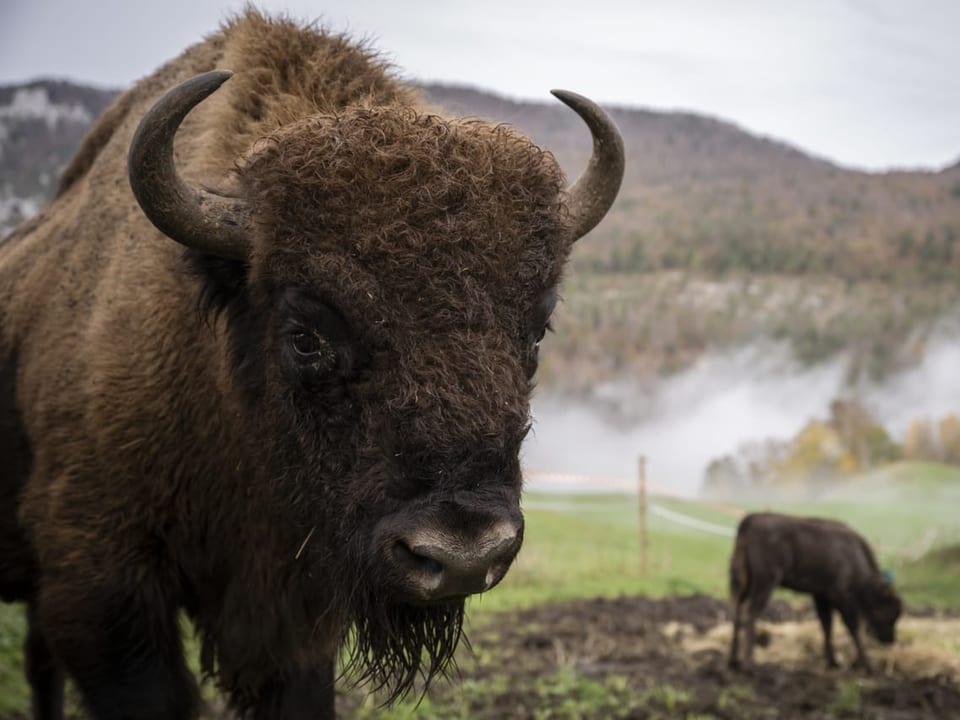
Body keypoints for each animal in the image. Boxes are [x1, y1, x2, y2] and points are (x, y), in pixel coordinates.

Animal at [732, 512, 904, 668]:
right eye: (890, 612)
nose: (889, 640)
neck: (856, 557)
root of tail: (751, 519)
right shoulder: (841, 596)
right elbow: (852, 627)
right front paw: (867, 665)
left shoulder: (821, 595)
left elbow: (826, 625)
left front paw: (833, 661)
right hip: (765, 582)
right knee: (749, 612)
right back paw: (749, 663)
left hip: (743, 584)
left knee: (737, 611)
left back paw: (733, 661)